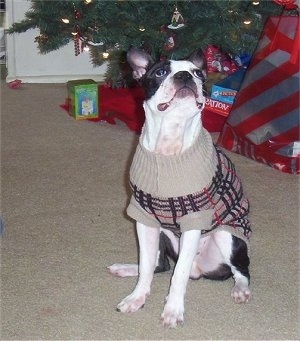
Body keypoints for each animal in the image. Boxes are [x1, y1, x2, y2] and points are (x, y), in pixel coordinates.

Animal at [108, 47, 251, 326]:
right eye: (161, 72)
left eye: (198, 73)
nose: (185, 76)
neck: (169, 147)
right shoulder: (144, 220)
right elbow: (147, 267)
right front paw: (137, 298)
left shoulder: (194, 222)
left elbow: (179, 274)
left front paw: (173, 310)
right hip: (165, 232)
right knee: (157, 264)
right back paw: (126, 268)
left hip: (226, 235)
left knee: (241, 269)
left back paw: (240, 289)